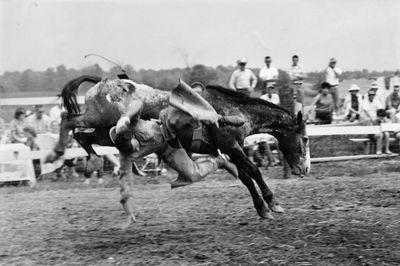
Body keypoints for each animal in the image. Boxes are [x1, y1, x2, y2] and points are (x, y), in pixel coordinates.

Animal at [46, 74, 310, 224]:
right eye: (306, 139)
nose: (304, 169)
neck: (235, 110)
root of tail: (103, 83)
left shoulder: (224, 150)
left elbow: (245, 176)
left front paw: (262, 209)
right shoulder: (231, 145)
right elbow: (253, 171)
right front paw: (273, 203)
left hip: (105, 131)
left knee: (82, 135)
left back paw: (93, 161)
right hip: (97, 119)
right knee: (68, 119)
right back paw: (57, 152)